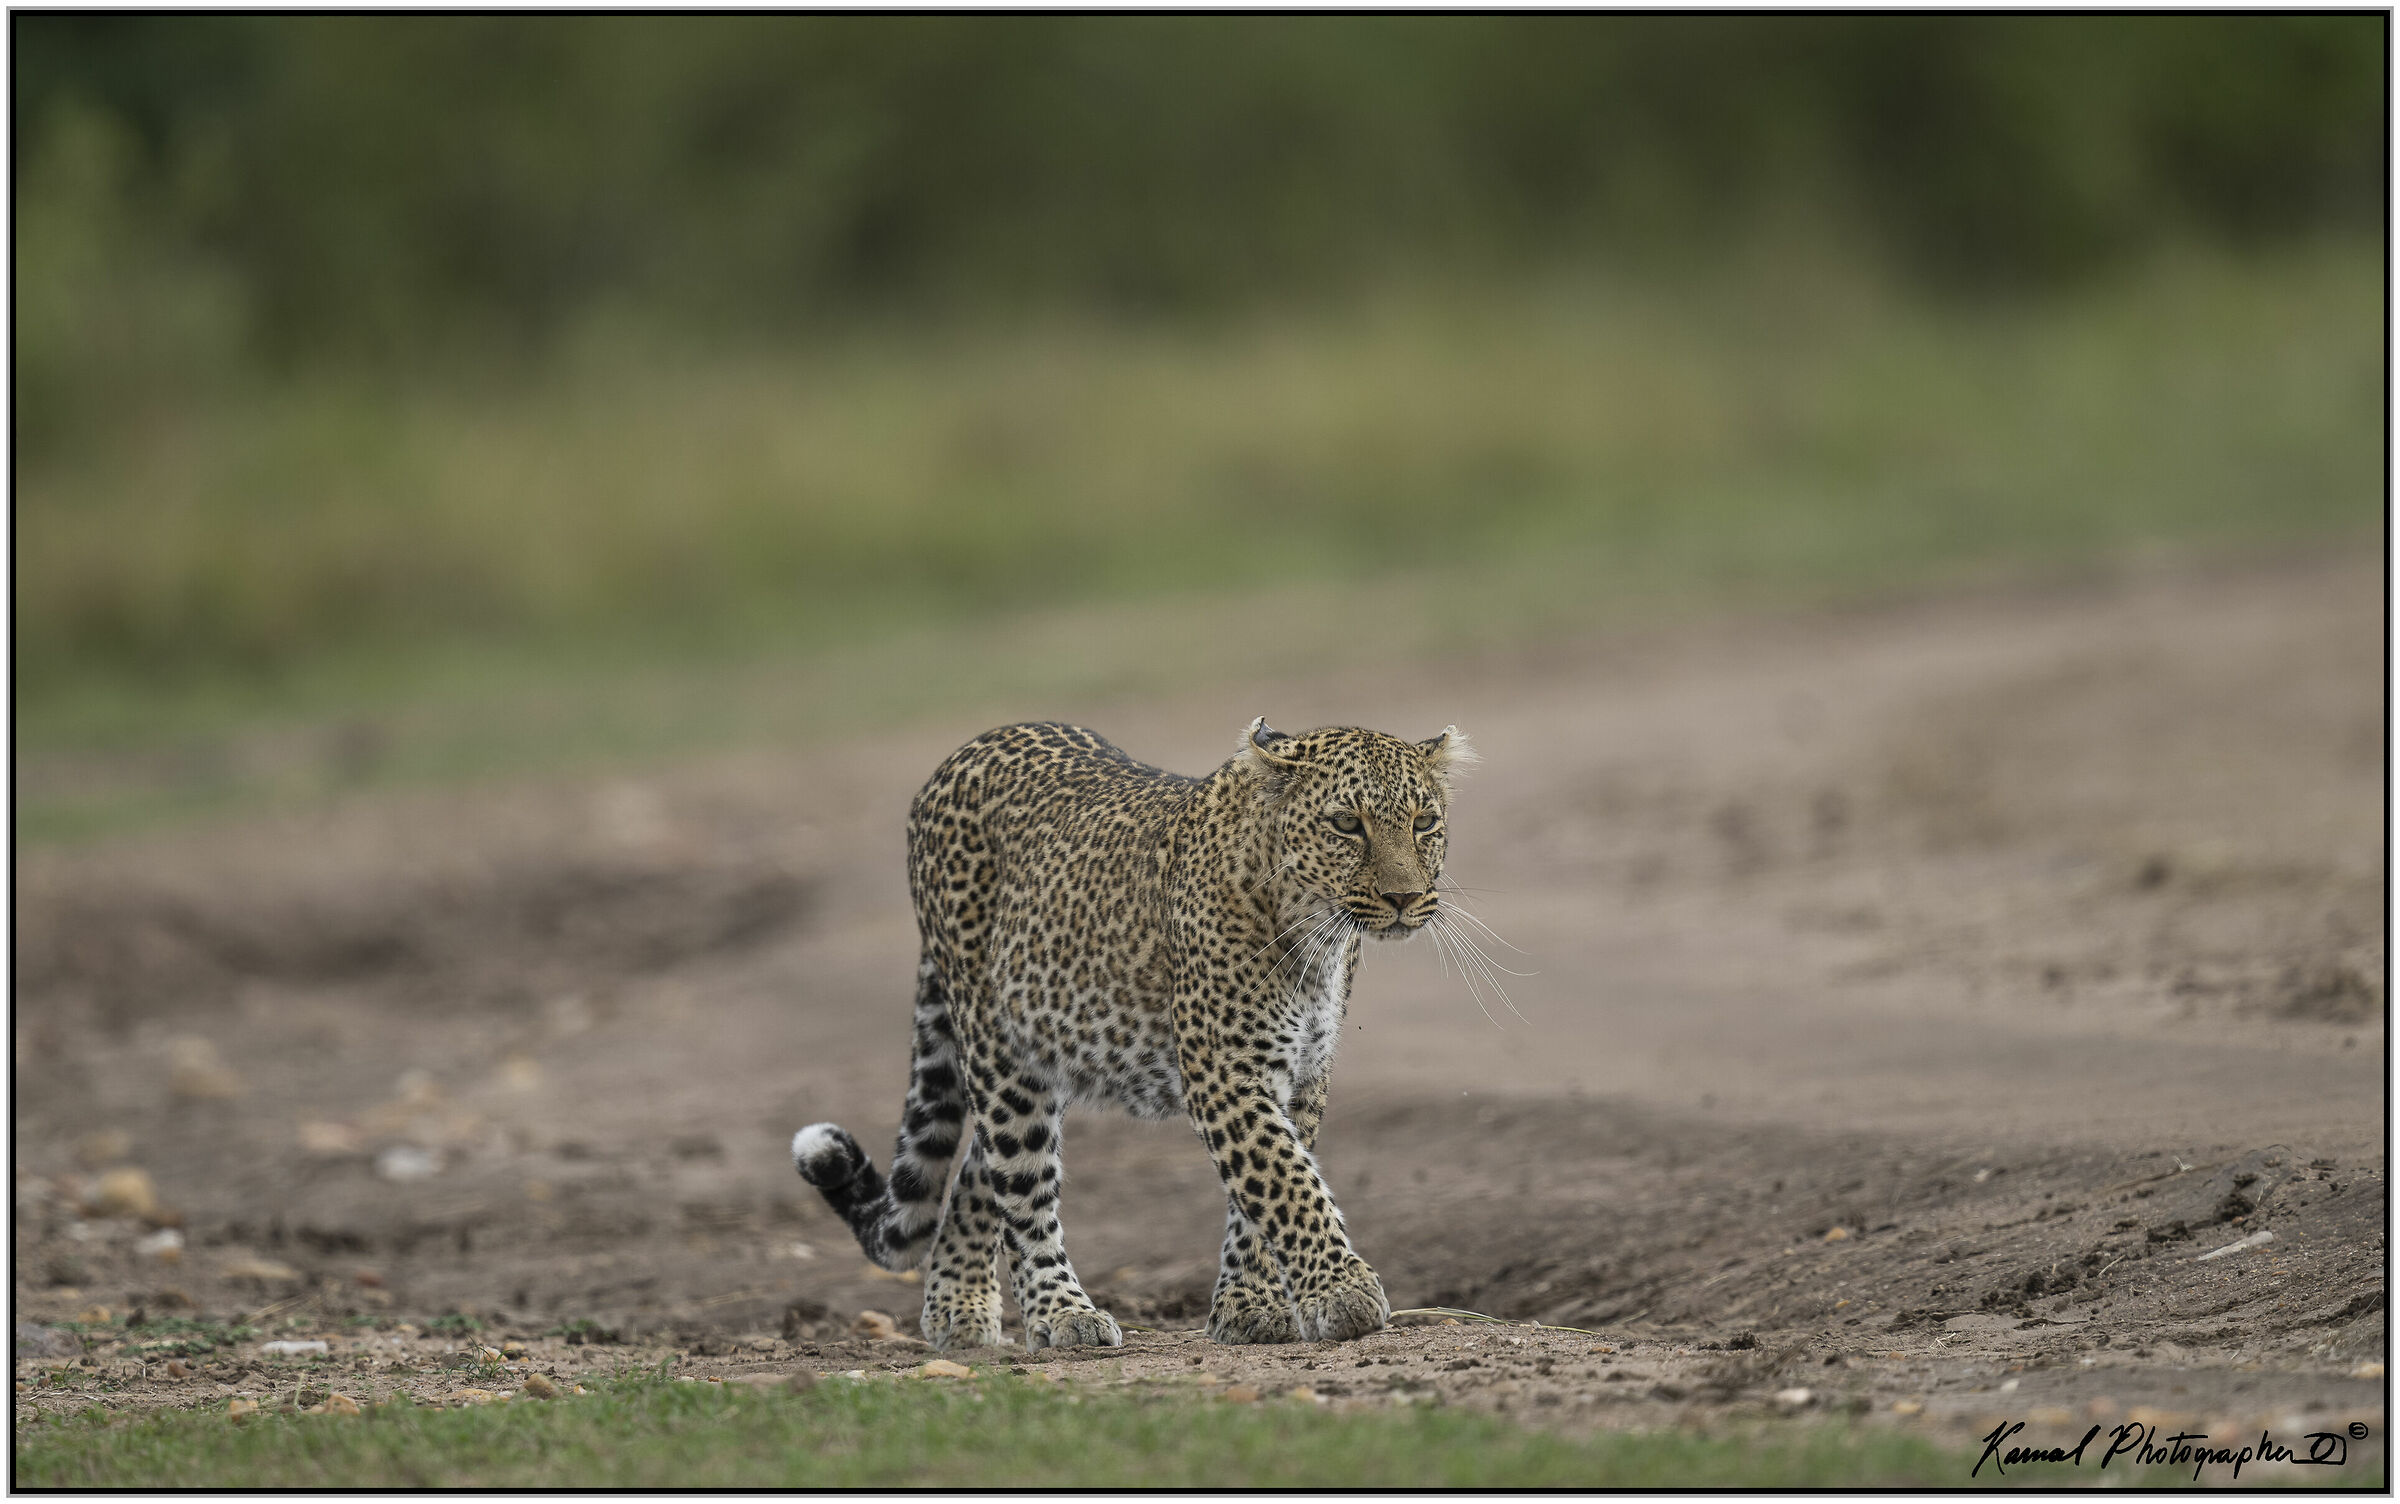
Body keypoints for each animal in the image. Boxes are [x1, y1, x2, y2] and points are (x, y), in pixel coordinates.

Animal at [791, 715, 1474, 1351]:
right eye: (1346, 825)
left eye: (1424, 822)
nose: (1405, 897)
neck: (1311, 933)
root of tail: (963, 752)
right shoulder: (1225, 1071)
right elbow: (1284, 1180)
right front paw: (1343, 1291)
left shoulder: (1304, 1073)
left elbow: (1262, 1190)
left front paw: (1248, 1307)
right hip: (999, 1051)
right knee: (1020, 1186)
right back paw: (1063, 1314)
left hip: (1036, 1046)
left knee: (975, 1171)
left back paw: (957, 1308)